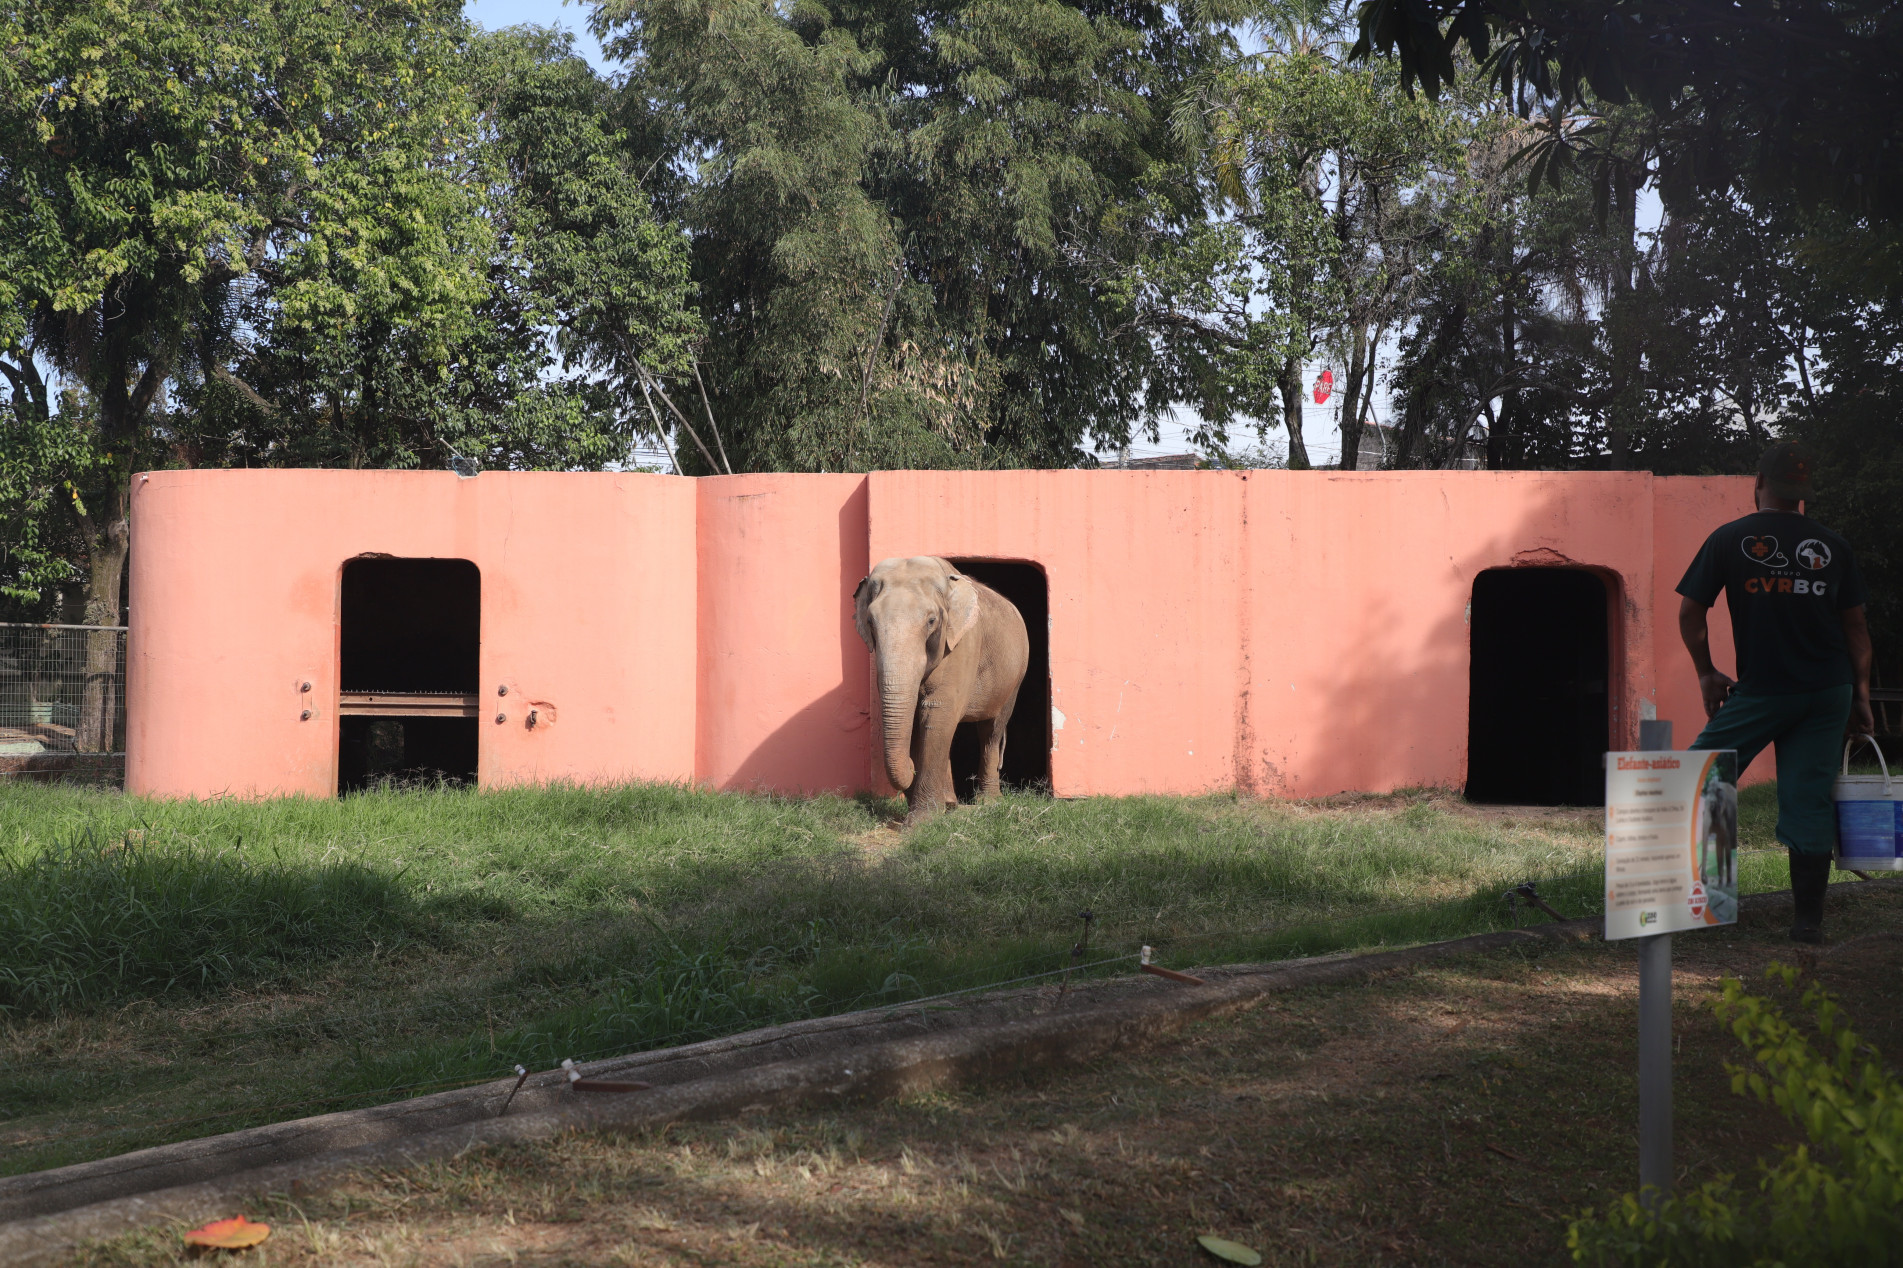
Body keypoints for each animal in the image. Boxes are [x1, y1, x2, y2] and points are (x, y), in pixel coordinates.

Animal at [853, 556, 1030, 824]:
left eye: (931, 621)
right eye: (870, 622)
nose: (910, 766)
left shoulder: (963, 644)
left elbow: (937, 714)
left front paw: (920, 822)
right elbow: (919, 719)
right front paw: (935, 810)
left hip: (1015, 676)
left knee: (991, 730)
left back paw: (988, 802)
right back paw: (951, 803)